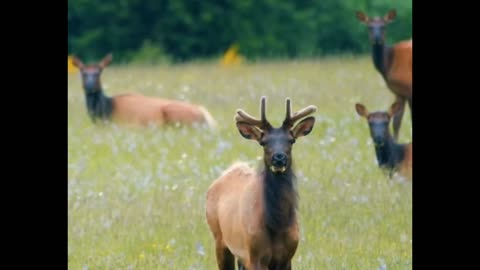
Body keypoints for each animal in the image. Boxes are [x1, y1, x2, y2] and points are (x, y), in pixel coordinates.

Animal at [205, 96, 316, 270]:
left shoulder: (287, 258)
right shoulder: (255, 256)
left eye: (291, 140)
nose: (279, 158)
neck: (276, 224)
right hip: (219, 238)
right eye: (263, 142)